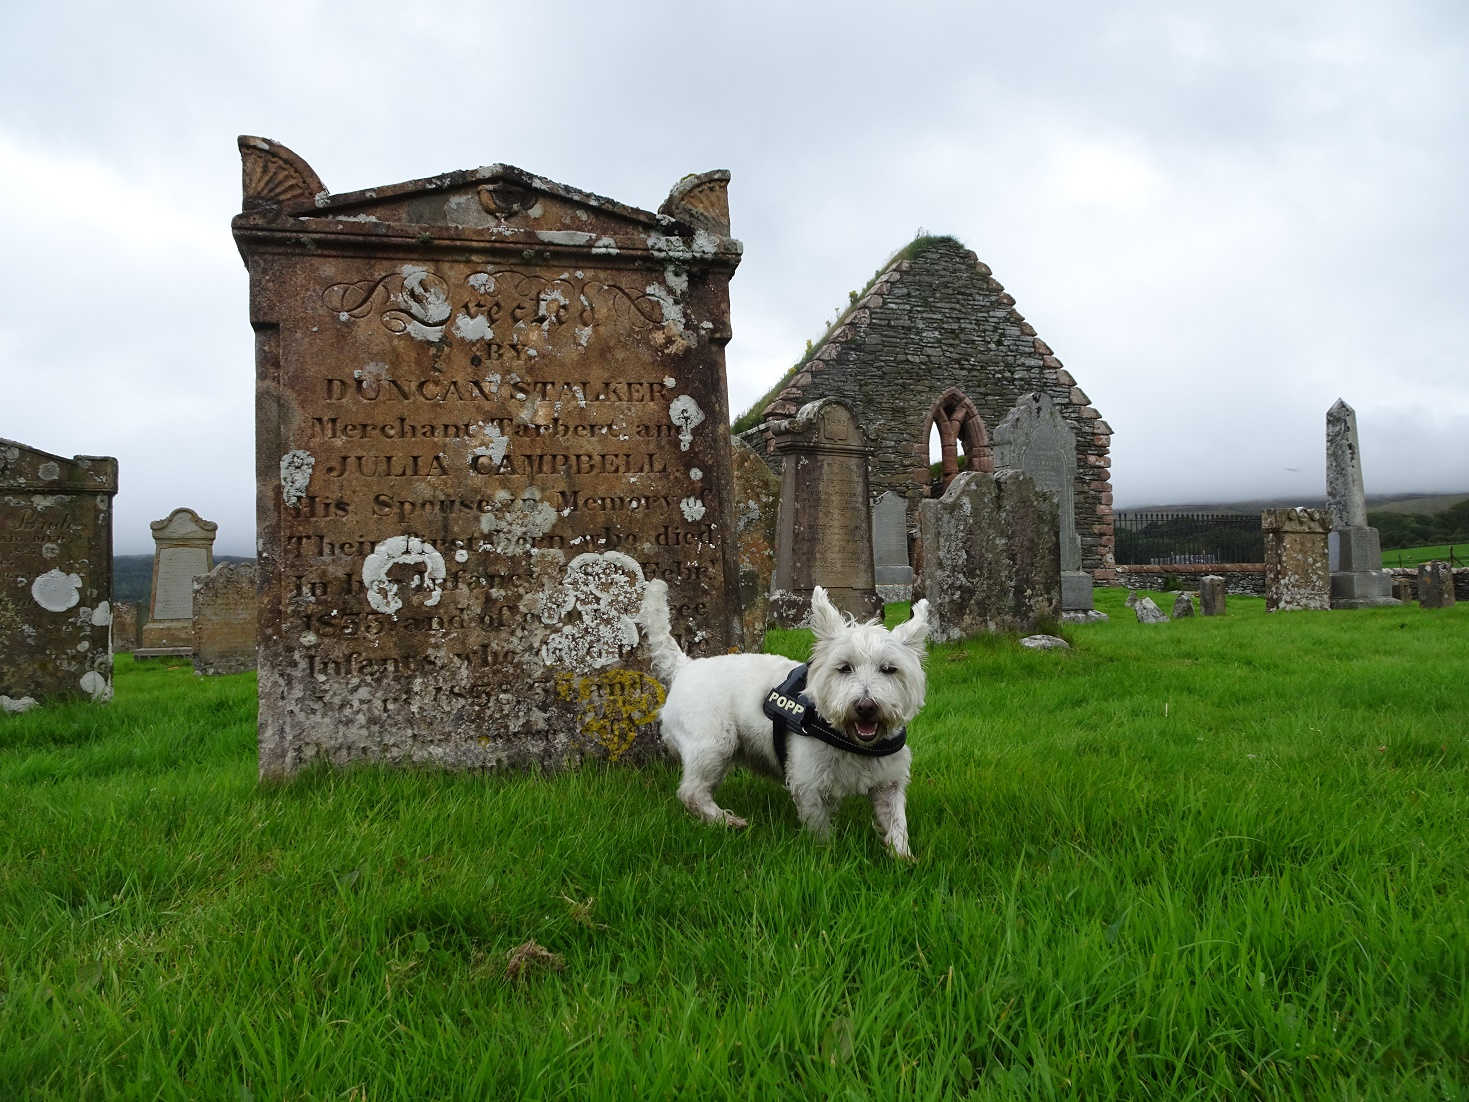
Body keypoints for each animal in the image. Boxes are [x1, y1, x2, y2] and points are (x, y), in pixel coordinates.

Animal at [634, 581, 928, 858]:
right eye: (844, 667)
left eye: (889, 669)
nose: (866, 707)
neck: (852, 741)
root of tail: (685, 666)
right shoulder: (809, 783)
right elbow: (819, 829)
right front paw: (826, 855)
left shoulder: (888, 783)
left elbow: (896, 824)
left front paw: (904, 858)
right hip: (714, 743)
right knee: (691, 792)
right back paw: (727, 821)